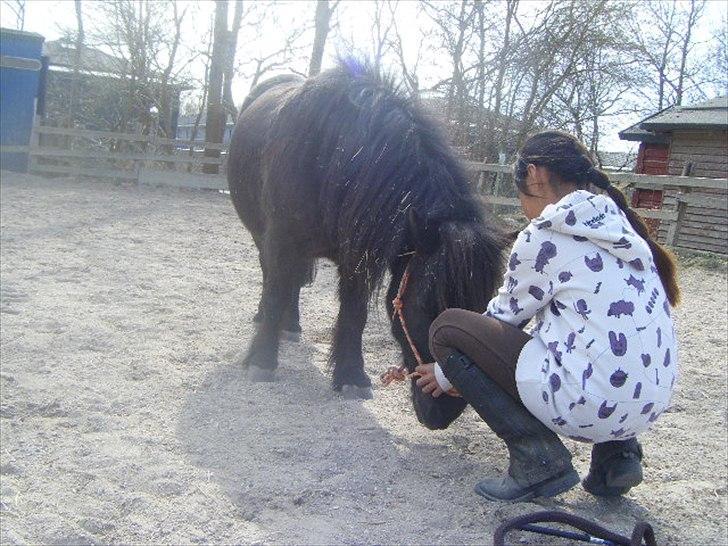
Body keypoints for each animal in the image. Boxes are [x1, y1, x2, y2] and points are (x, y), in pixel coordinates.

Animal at [227, 59, 509, 430]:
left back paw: (292, 325)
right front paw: (261, 360)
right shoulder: (281, 241)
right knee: (275, 279)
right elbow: (275, 291)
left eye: (484, 307)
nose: (443, 413)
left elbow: (354, 314)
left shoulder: (356, 259)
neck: (329, 156)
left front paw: (350, 376)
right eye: (425, 306)